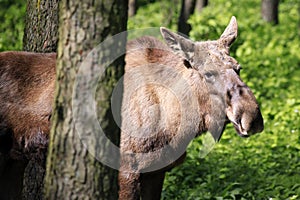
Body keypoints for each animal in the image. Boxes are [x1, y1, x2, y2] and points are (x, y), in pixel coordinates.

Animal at [0, 16, 262, 200]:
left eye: (238, 67)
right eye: (208, 73)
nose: (251, 116)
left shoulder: (157, 170)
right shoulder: (126, 169)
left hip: (15, 160)